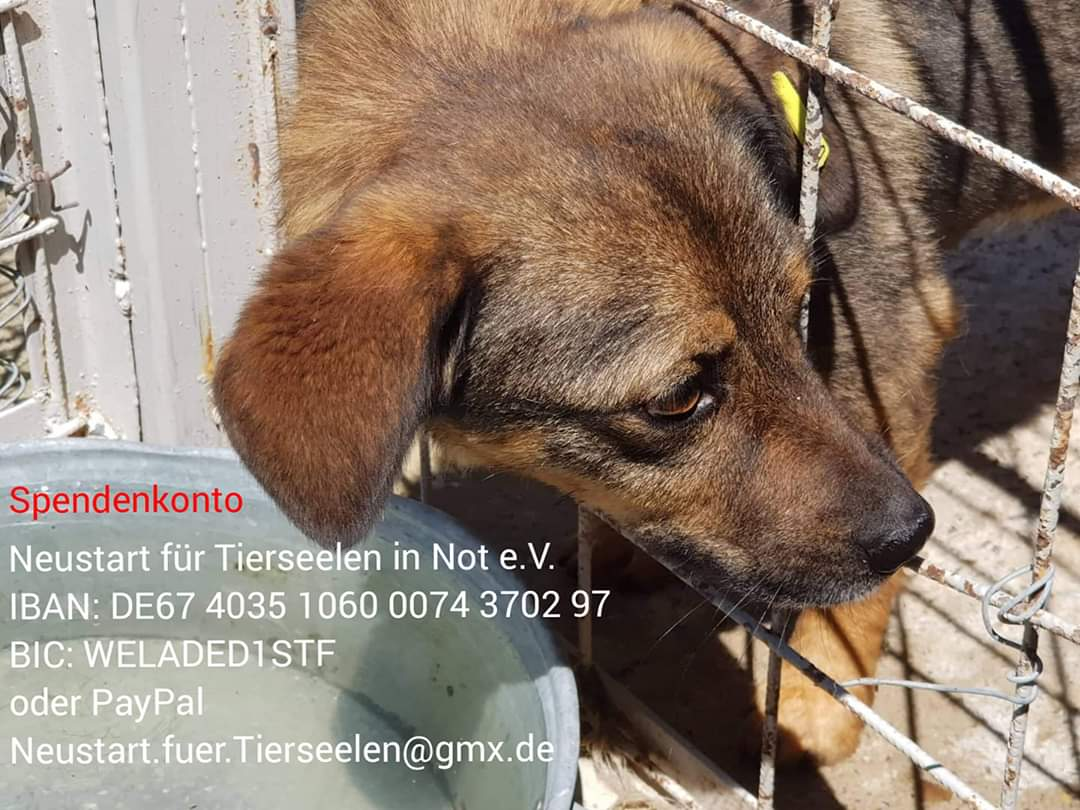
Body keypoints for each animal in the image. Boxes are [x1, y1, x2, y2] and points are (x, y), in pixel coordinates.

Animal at [212, 0, 1080, 765]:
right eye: (676, 400)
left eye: (800, 311)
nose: (915, 536)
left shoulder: (891, 334)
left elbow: (843, 616)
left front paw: (812, 715)